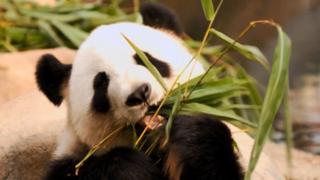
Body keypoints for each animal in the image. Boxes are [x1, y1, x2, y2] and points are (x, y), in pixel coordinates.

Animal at [35, 3, 244, 180]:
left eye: (146, 59)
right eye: (101, 83)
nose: (139, 94)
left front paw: (194, 132)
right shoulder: (71, 162)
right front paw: (129, 167)